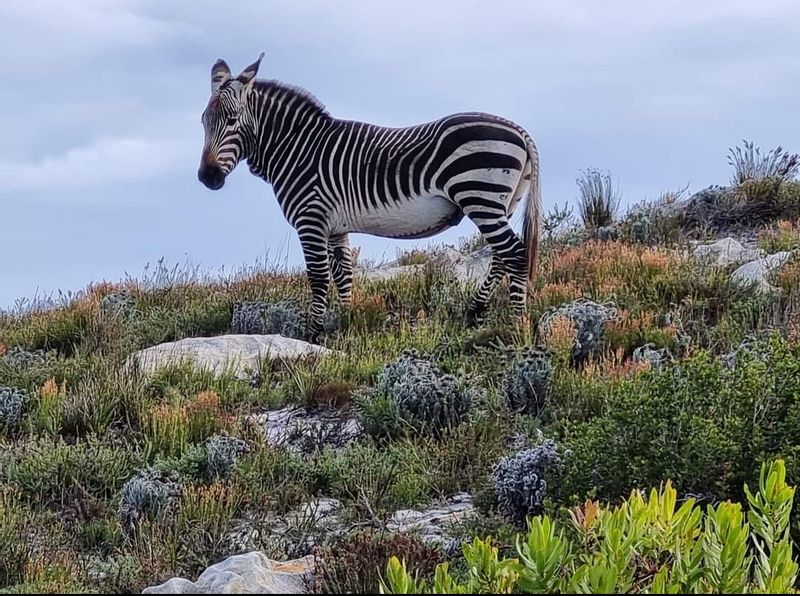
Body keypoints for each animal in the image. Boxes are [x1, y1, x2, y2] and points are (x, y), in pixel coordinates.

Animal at [197, 53, 540, 342]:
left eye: (232, 120)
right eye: (203, 122)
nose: (207, 177)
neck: (297, 149)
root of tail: (519, 130)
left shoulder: (311, 220)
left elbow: (319, 278)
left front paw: (312, 336)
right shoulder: (335, 227)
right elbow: (344, 276)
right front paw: (347, 323)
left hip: (480, 196)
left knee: (514, 254)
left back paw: (517, 324)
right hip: (503, 203)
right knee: (500, 257)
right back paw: (475, 312)